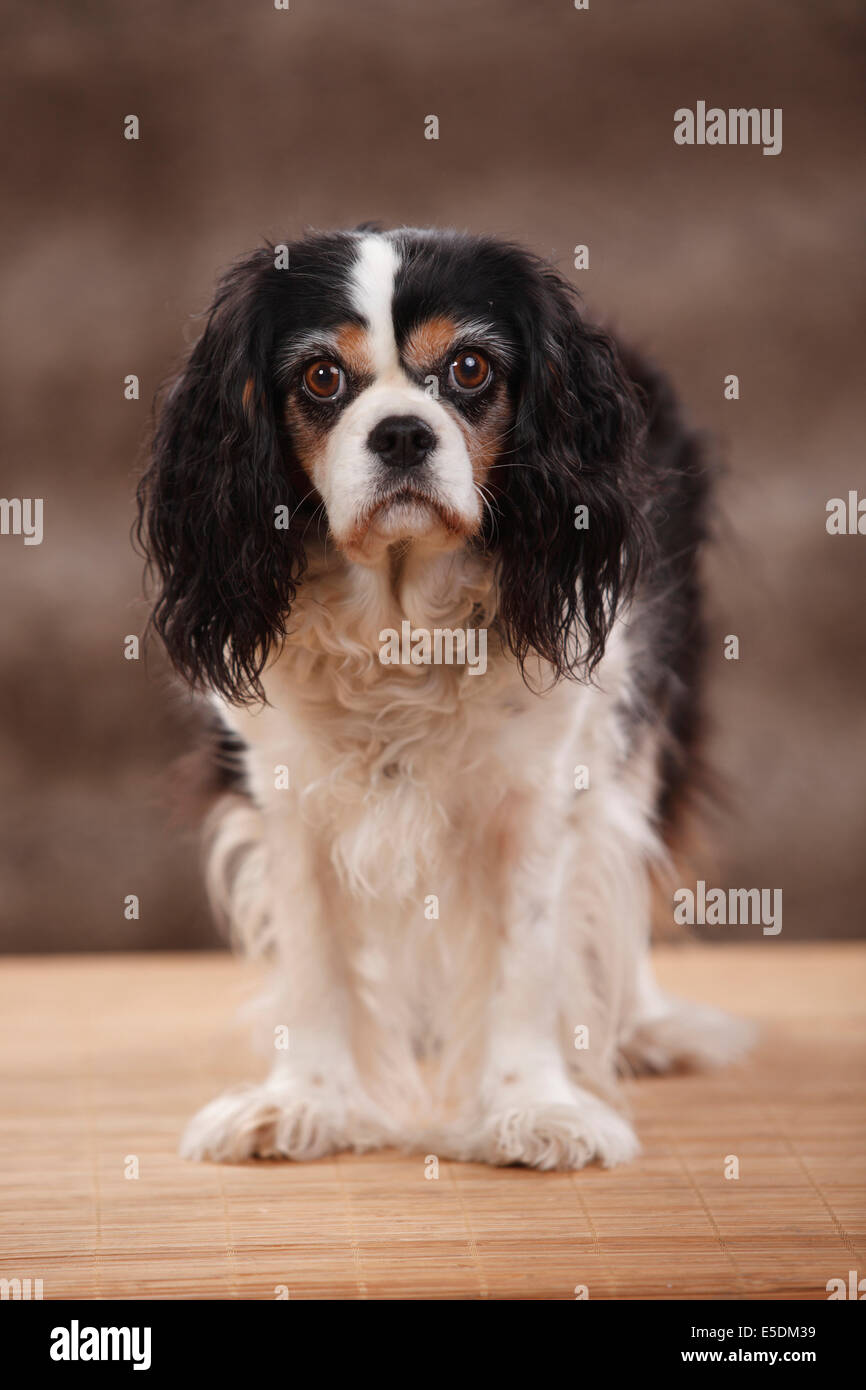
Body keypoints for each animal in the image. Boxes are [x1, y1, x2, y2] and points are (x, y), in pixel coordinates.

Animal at [136, 222, 750, 1167]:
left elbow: (527, 956)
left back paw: (639, 1024)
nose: (400, 433)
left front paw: (533, 1108)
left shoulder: (540, 793)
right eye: (322, 377)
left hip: (641, 721)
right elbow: (314, 956)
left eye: (468, 369)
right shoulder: (285, 794)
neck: (399, 623)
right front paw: (305, 1101)